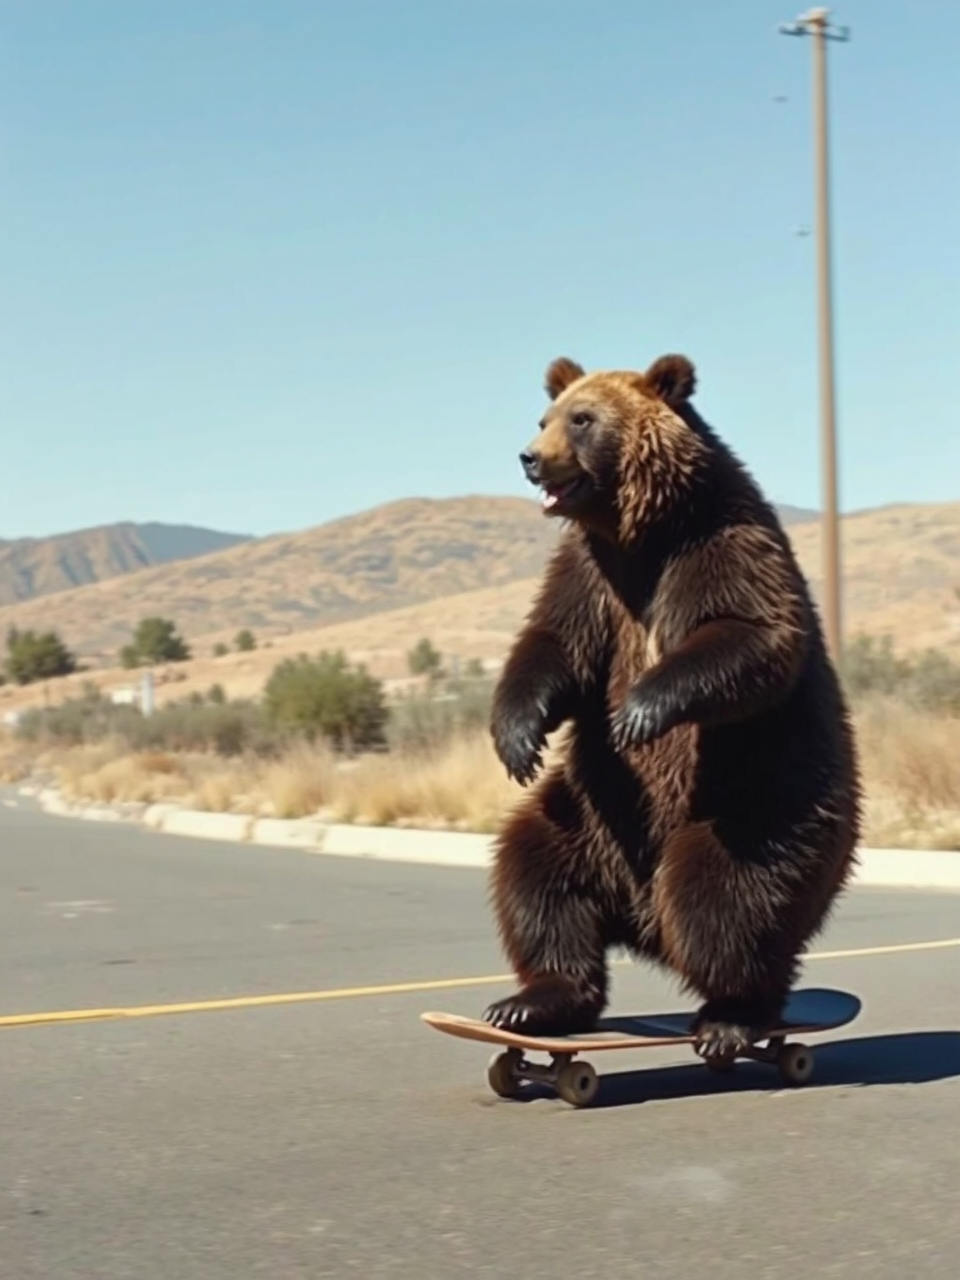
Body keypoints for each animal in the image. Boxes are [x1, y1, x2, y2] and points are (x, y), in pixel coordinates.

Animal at [482, 350, 862, 1060]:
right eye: (545, 417)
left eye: (582, 419)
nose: (529, 457)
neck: (640, 531)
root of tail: (639, 918)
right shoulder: (589, 575)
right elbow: (553, 644)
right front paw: (519, 741)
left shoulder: (718, 548)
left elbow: (750, 636)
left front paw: (639, 713)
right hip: (589, 818)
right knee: (535, 873)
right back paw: (531, 1001)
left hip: (761, 804)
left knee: (724, 902)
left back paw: (732, 1018)